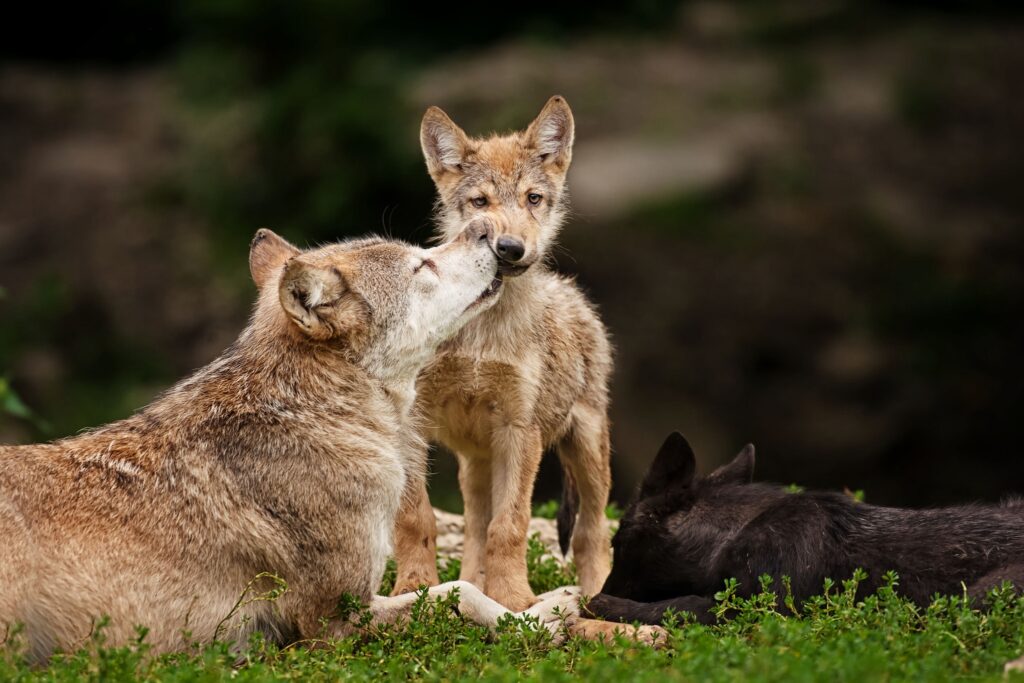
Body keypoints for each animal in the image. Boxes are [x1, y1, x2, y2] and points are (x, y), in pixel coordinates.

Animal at [0, 223, 588, 661]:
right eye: (422, 265)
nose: (487, 230)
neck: (317, 416)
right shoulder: (330, 621)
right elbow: (460, 594)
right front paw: (546, 619)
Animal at [390, 96, 614, 611]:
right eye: (481, 203)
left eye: (533, 199)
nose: (509, 248)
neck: (480, 332)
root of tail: (573, 295)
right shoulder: (413, 425)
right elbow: (417, 518)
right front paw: (412, 588)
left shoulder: (520, 429)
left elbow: (510, 526)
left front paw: (514, 600)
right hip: (476, 462)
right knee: (474, 527)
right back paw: (469, 588)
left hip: (587, 451)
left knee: (592, 535)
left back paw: (596, 598)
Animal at [585, 432, 1024, 626]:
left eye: (618, 542)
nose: (604, 586)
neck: (719, 549)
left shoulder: (766, 604)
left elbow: (677, 606)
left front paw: (603, 604)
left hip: (980, 597)